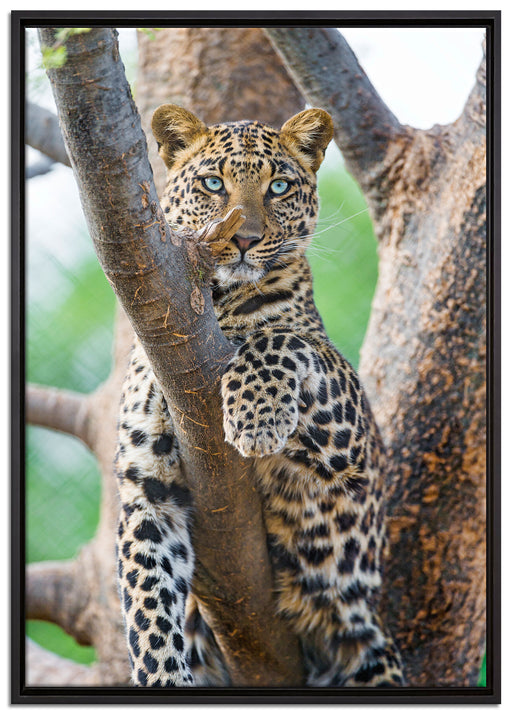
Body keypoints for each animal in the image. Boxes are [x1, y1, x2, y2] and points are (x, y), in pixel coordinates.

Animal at [114, 103, 404, 688]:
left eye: (278, 186)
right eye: (212, 183)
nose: (245, 239)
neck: (215, 305)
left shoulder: (352, 443)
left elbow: (282, 338)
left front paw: (256, 418)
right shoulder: (147, 493)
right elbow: (149, 613)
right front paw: (163, 676)